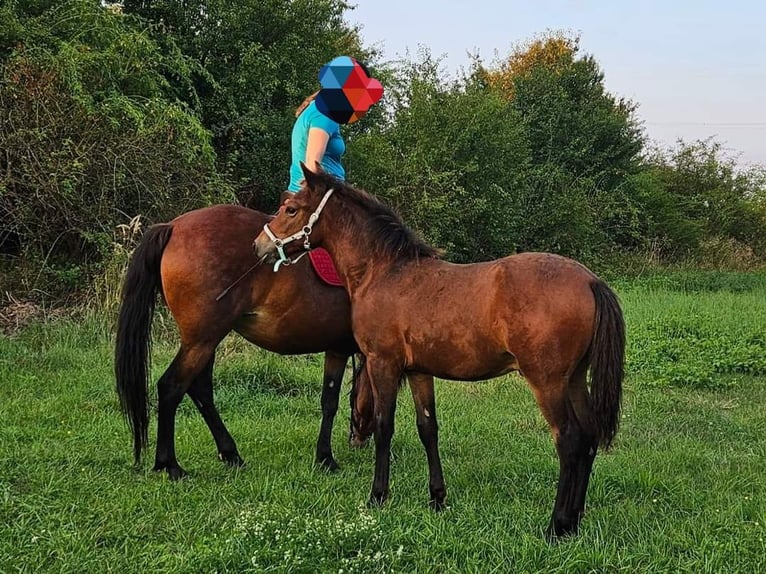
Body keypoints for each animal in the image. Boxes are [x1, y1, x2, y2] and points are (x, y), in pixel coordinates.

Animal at [114, 205, 360, 480]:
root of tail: (173, 226)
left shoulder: (340, 349)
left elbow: (333, 399)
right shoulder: (341, 349)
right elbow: (333, 402)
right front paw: (326, 458)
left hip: (203, 341)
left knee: (200, 389)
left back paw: (229, 453)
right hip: (202, 340)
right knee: (172, 387)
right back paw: (171, 464)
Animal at [255, 165, 628, 540]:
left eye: (291, 209)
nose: (260, 245)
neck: (385, 272)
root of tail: (590, 281)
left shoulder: (383, 364)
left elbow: (384, 426)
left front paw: (378, 495)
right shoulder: (419, 371)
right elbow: (428, 428)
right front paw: (437, 498)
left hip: (547, 382)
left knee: (570, 440)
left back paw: (557, 525)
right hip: (575, 379)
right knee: (589, 436)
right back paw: (575, 521)